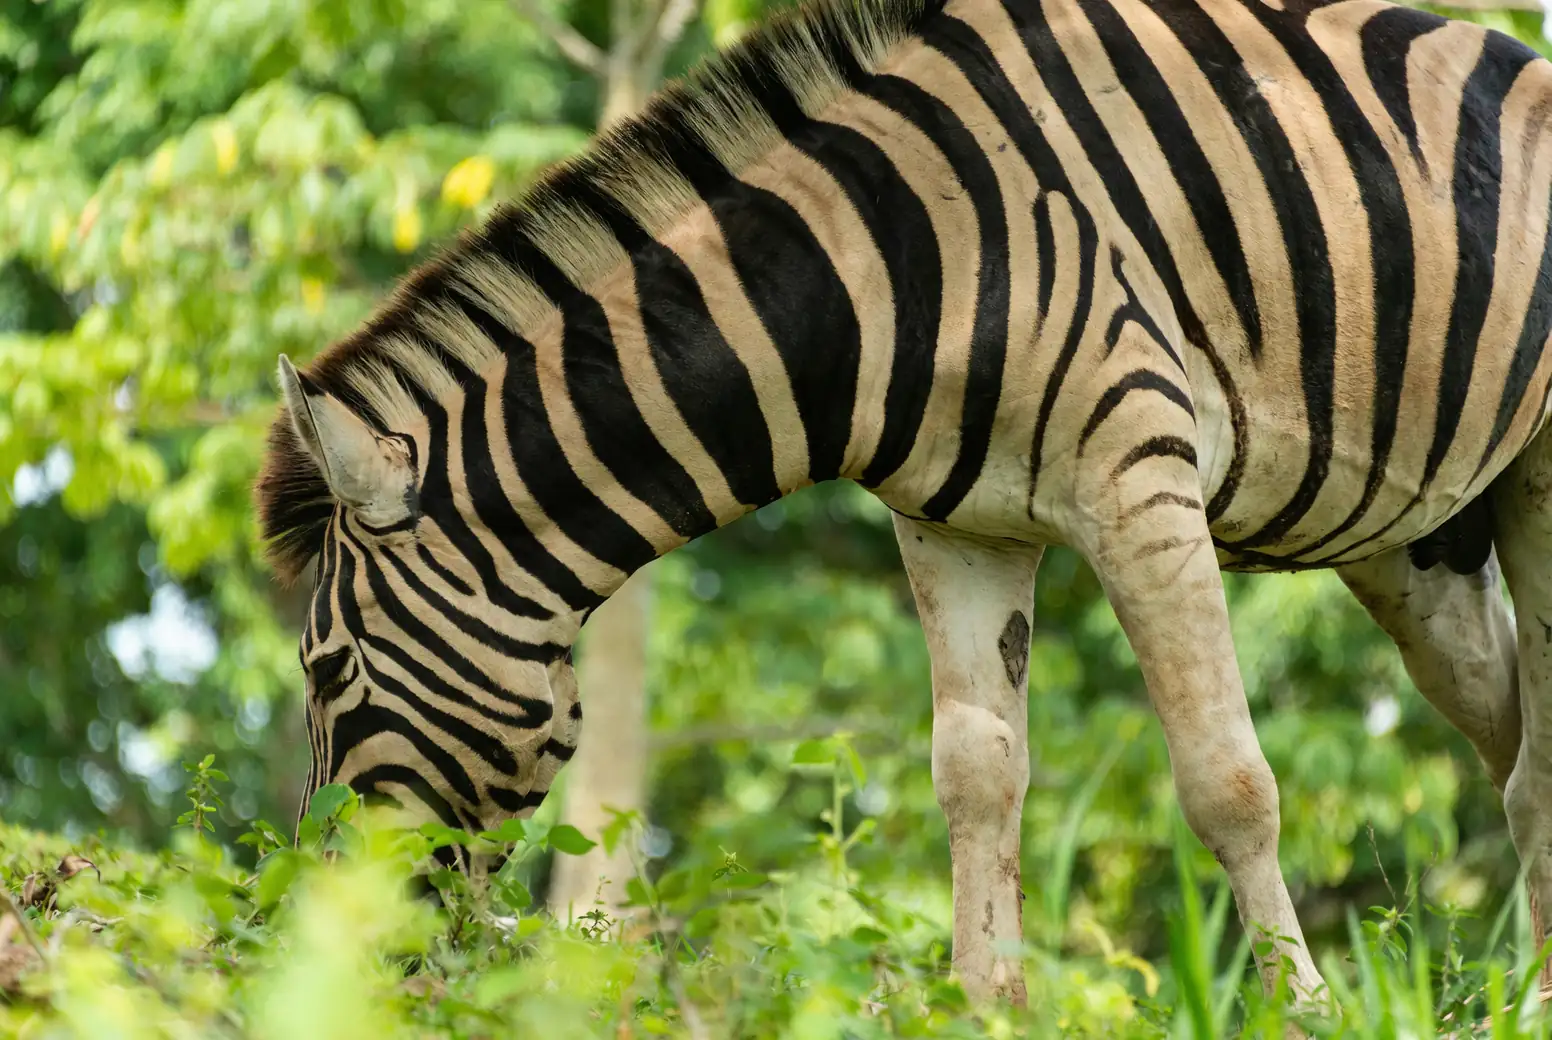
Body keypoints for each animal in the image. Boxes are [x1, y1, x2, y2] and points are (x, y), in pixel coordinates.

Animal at [255, 0, 1552, 1006]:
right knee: (1511, 736)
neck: (873, 272)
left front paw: (1305, 1011)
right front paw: (982, 1007)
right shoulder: (956, 526)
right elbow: (976, 777)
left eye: (326, 670)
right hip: (1423, 544)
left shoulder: (1139, 470)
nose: (332, 938)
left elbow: (1228, 780)